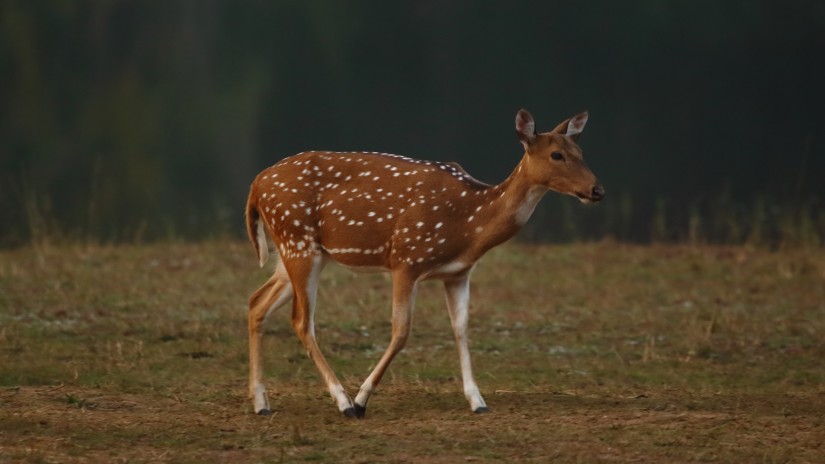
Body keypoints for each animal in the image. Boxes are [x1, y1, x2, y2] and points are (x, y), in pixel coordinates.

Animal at [245, 108, 604, 416]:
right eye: (556, 154)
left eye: (580, 151)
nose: (597, 190)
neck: (470, 226)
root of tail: (256, 185)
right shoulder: (406, 258)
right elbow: (401, 331)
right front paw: (362, 400)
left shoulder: (458, 274)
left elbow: (461, 328)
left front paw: (477, 401)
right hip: (298, 240)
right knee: (301, 320)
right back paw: (343, 402)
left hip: (296, 252)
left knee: (257, 302)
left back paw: (261, 403)